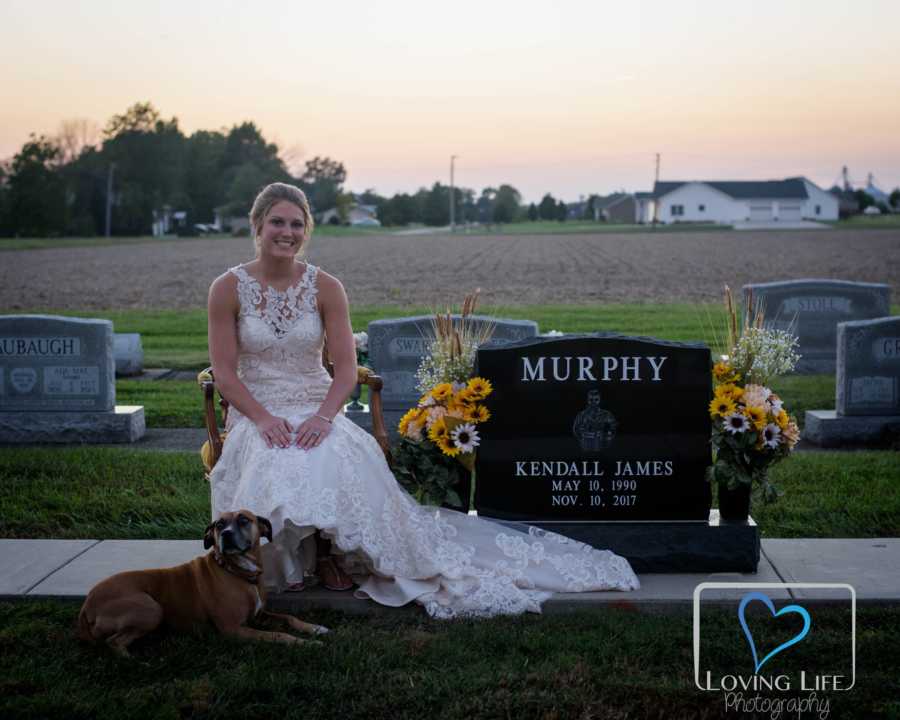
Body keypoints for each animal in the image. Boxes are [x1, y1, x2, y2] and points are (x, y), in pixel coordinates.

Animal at [75, 510, 326, 656]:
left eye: (244, 520)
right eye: (218, 525)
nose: (225, 534)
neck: (237, 572)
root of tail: (87, 605)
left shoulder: (259, 615)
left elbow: (288, 617)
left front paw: (315, 628)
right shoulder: (234, 629)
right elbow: (277, 634)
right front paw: (304, 643)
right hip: (151, 609)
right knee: (113, 642)